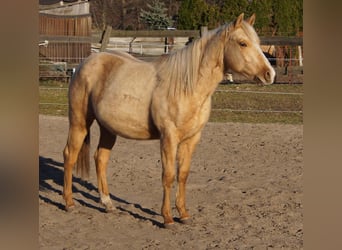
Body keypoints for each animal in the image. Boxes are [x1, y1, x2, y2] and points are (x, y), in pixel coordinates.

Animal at [62, 14, 276, 228]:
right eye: (242, 43)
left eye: (258, 43)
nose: (270, 74)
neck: (187, 86)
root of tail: (85, 62)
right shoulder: (168, 137)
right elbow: (168, 175)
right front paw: (167, 218)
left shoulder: (191, 139)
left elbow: (183, 175)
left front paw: (183, 214)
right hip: (79, 122)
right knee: (70, 155)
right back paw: (69, 203)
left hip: (108, 128)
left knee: (101, 159)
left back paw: (107, 204)